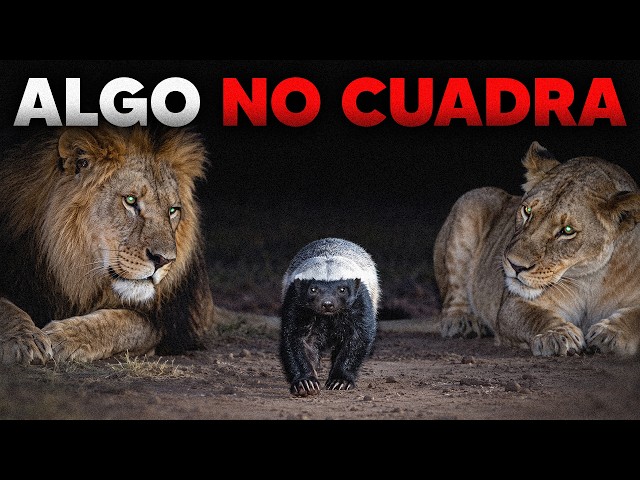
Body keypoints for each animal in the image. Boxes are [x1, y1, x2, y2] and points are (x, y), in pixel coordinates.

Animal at [0, 124, 216, 365]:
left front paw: (64, 336)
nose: (164, 260)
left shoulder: (170, 324)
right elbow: (6, 308)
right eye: (130, 200)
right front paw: (24, 338)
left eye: (172, 210)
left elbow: (125, 323)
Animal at [434, 141, 640, 357]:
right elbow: (535, 316)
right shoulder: (513, 304)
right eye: (527, 211)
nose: (515, 265)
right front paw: (557, 335)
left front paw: (610, 334)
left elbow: (635, 317)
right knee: (455, 292)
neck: (593, 278)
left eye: (567, 230)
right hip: (473, 201)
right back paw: (462, 322)